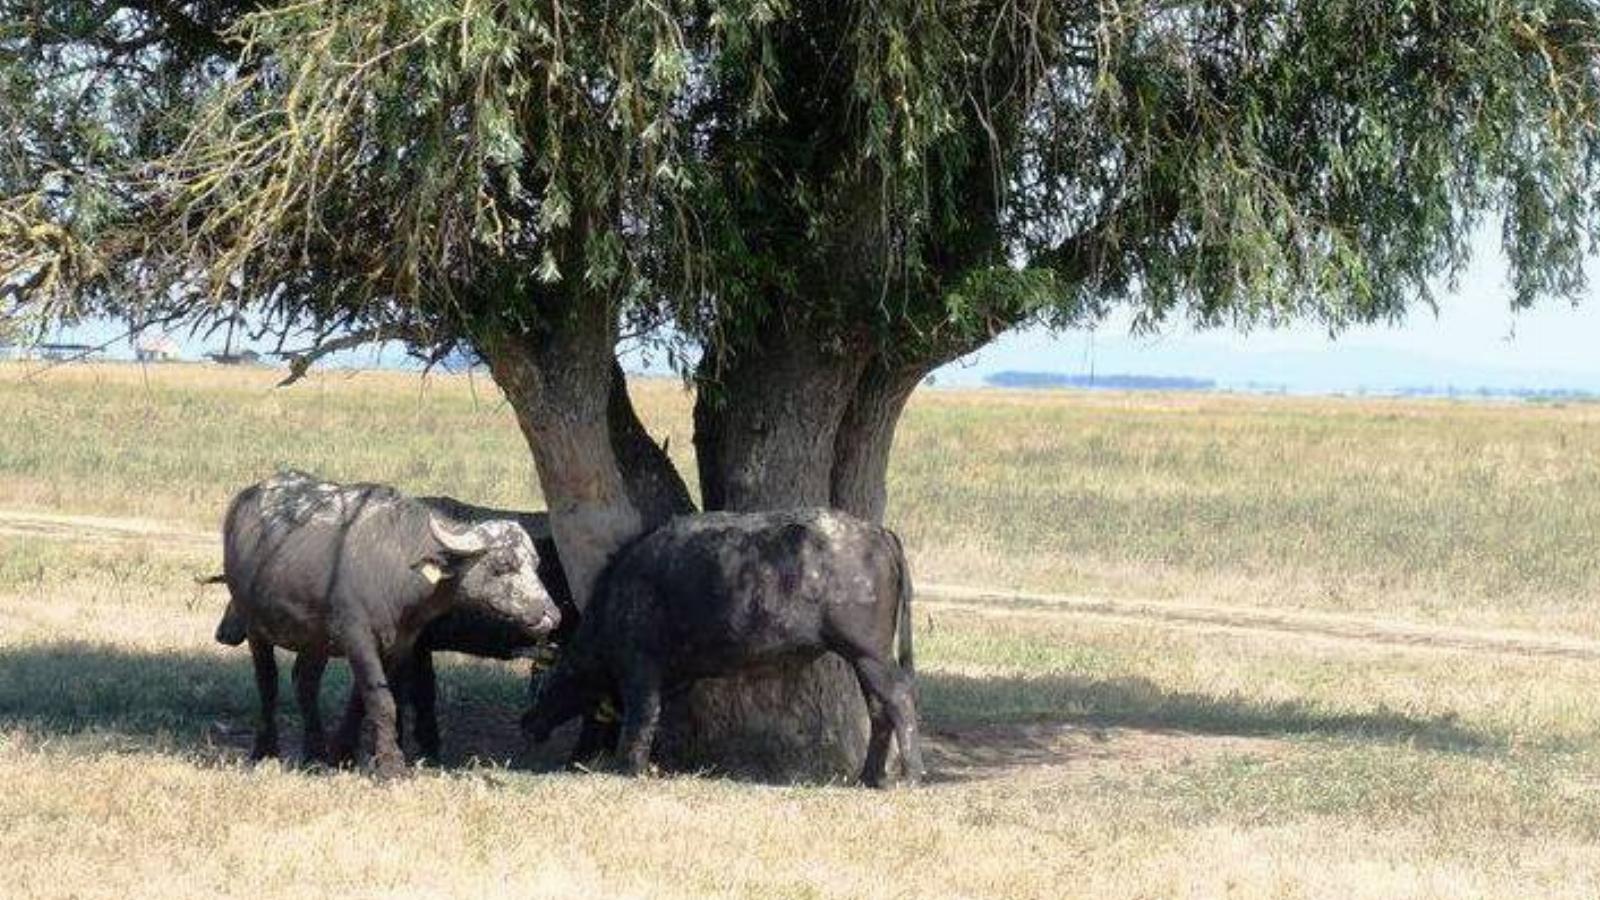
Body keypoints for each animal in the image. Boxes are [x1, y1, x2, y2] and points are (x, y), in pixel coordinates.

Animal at [212, 470, 563, 771]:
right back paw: (265, 750)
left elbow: (365, 699)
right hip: (256, 627)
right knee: (268, 683)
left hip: (315, 640)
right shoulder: (358, 639)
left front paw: (343, 754)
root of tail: (244, 500)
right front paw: (392, 766)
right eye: (503, 565)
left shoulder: (401, 645)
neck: (397, 572)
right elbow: (382, 700)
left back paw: (314, 753)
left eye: (535, 564)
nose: (552, 614)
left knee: (305, 683)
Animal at [524, 509, 928, 781]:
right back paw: (870, 777)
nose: (528, 722)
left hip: (869, 653)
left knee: (899, 697)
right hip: (864, 659)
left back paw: (910, 775)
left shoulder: (641, 669)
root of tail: (878, 531)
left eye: (542, 684)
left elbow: (642, 717)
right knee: (879, 708)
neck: (616, 599)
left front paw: (631, 767)